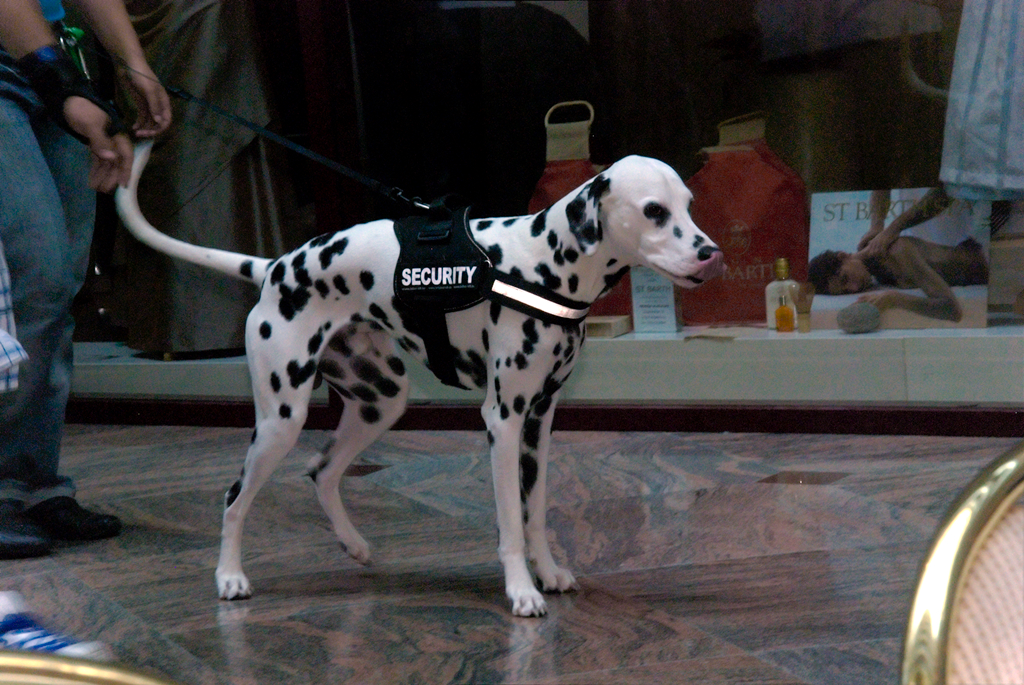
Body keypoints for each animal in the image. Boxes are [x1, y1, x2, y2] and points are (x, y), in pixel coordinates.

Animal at [115, 141, 724, 617]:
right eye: (653, 210)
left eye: (690, 205)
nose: (710, 254)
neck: (542, 263)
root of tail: (274, 268)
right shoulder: (503, 422)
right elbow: (509, 522)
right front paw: (521, 591)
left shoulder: (539, 424)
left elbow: (533, 512)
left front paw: (547, 572)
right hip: (279, 421)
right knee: (235, 497)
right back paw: (229, 576)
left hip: (380, 401)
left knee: (322, 471)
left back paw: (354, 545)